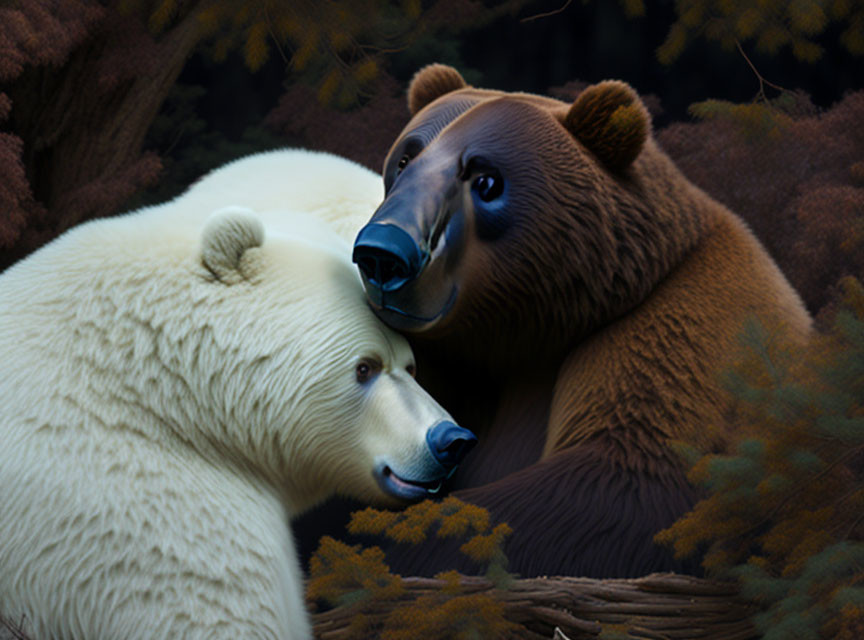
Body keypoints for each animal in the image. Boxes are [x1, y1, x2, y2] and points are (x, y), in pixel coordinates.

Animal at [350, 65, 808, 580]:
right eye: (406, 158)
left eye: (486, 179)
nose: (385, 253)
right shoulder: (451, 362)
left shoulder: (682, 331)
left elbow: (624, 486)